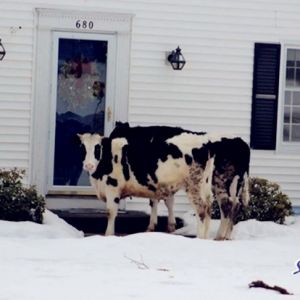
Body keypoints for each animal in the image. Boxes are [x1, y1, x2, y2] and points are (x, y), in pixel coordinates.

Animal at [78, 132, 217, 238]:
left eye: (97, 148)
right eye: (83, 148)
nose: (88, 165)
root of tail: (204, 141)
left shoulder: (113, 188)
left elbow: (110, 213)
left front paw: (108, 235)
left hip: (194, 187)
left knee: (201, 210)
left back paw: (199, 237)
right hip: (205, 186)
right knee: (208, 207)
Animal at [109, 120, 250, 240]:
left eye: (114, 135)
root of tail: (241, 142)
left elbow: (157, 201)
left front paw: (153, 226)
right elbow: (168, 201)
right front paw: (171, 225)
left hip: (221, 180)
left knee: (226, 204)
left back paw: (220, 236)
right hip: (234, 181)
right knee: (234, 204)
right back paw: (226, 236)